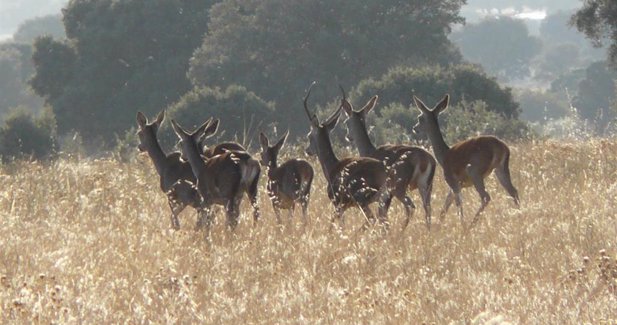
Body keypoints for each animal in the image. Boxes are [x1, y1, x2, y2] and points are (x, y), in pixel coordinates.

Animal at [302, 82, 390, 229]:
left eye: (309, 135)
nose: (307, 150)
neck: (332, 167)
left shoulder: (338, 203)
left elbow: (338, 225)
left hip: (363, 200)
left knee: (373, 220)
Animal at [340, 88, 436, 229]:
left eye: (346, 121)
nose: (348, 137)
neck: (371, 150)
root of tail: (426, 159)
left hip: (399, 188)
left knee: (411, 206)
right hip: (425, 186)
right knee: (427, 209)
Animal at [412, 93, 516, 228]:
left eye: (420, 117)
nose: (415, 128)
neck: (443, 157)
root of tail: (501, 147)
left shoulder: (452, 181)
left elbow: (458, 204)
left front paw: (462, 225)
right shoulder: (454, 187)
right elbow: (444, 208)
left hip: (474, 171)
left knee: (486, 196)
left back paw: (471, 225)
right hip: (501, 169)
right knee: (513, 191)